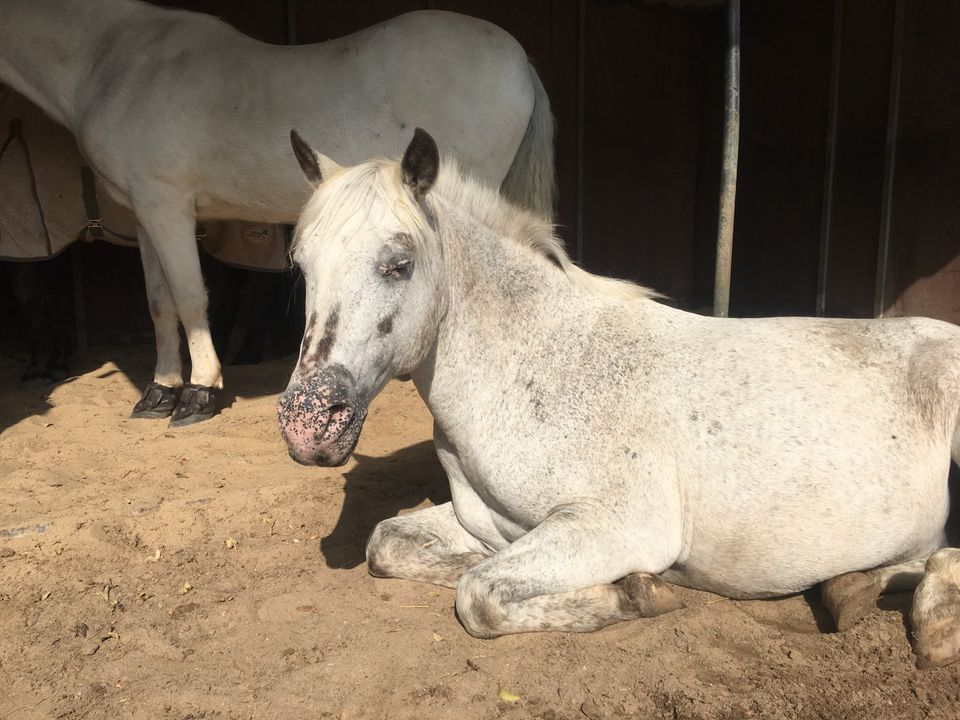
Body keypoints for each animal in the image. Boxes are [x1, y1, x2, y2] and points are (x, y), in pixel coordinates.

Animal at [0, 0, 556, 424]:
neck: (113, 60)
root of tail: (518, 58)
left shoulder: (168, 205)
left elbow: (189, 298)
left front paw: (199, 393)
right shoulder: (144, 213)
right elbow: (159, 303)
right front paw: (159, 393)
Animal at [278, 129, 960, 668]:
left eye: (399, 263)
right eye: (301, 265)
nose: (308, 425)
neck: (534, 368)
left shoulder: (616, 528)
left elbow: (478, 595)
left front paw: (638, 593)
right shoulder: (496, 524)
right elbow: (391, 545)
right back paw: (852, 589)